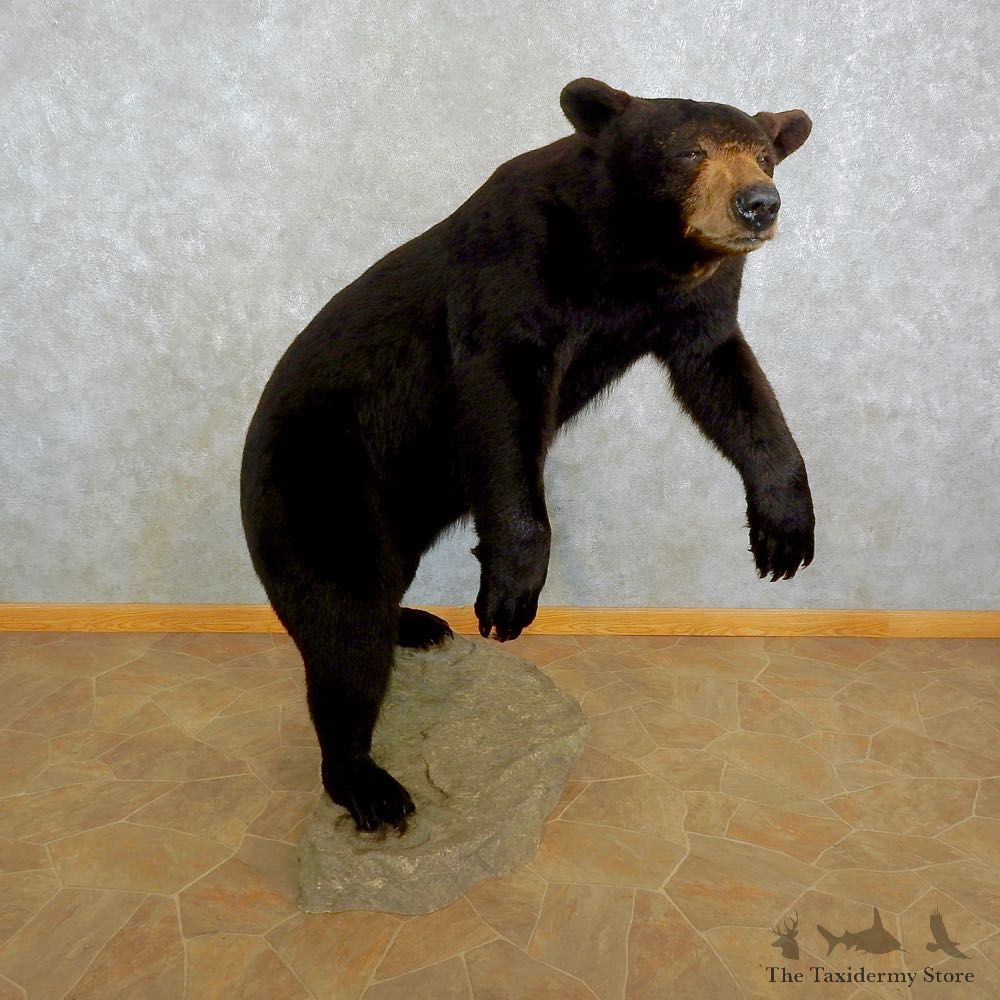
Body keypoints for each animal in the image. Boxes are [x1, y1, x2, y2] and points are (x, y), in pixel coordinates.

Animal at [240, 78, 815, 833]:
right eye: (690, 151)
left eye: (764, 154)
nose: (758, 203)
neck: (633, 257)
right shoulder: (518, 266)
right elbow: (502, 390)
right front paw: (511, 592)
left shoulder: (694, 303)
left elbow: (728, 379)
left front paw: (784, 529)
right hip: (317, 474)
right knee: (342, 610)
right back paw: (366, 779)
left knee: (378, 583)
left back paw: (414, 623)